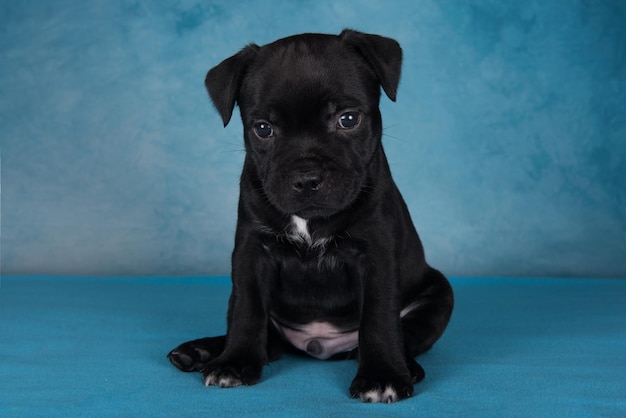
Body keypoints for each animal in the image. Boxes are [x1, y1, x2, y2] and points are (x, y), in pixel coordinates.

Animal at [168, 28, 450, 402]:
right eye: (263, 129)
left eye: (348, 119)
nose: (306, 178)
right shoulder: (250, 253)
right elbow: (247, 310)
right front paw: (234, 361)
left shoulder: (376, 251)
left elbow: (378, 318)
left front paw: (383, 375)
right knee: (268, 340)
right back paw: (201, 351)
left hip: (439, 294)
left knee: (405, 333)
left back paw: (407, 366)